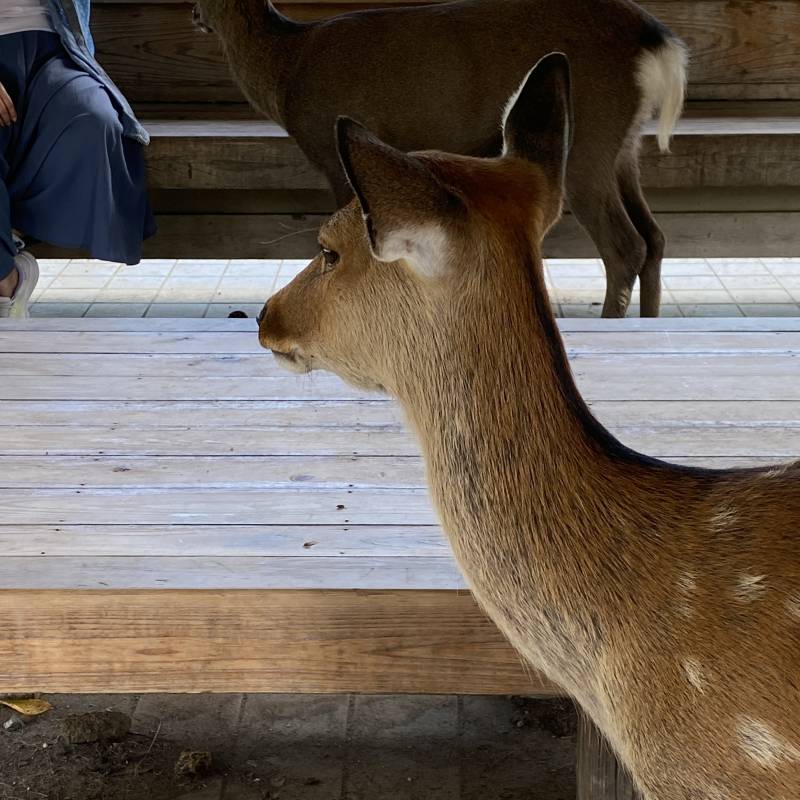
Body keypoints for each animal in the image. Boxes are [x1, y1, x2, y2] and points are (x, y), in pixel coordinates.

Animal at [194, 0, 688, 318]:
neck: (285, 70)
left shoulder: (329, 147)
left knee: (625, 244)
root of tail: (658, 42)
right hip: (625, 144)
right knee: (655, 236)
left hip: (589, 136)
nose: (196, 16)